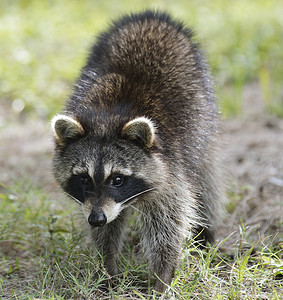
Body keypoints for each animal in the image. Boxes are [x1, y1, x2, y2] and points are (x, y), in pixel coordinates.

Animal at [52, 10, 223, 292]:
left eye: (118, 179)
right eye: (83, 178)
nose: (96, 219)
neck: (108, 116)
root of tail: (150, 16)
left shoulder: (171, 165)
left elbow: (168, 222)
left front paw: (161, 278)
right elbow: (107, 230)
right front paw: (107, 265)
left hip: (204, 118)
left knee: (208, 180)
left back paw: (206, 232)